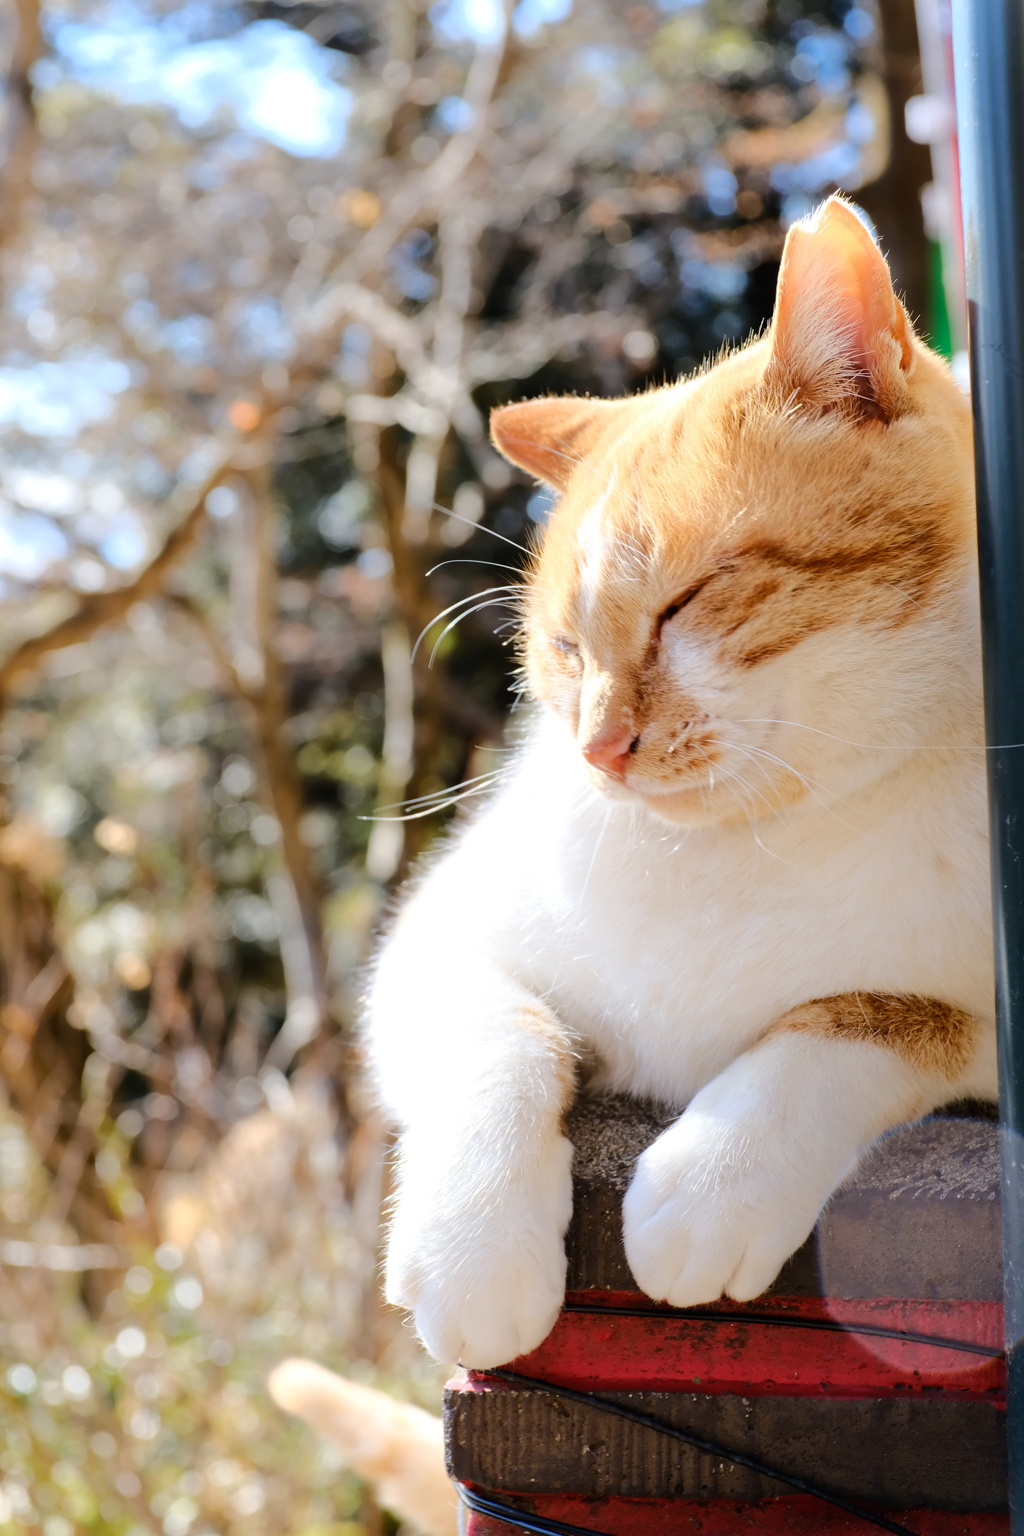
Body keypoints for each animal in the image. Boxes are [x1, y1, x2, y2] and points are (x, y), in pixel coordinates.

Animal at [366, 195, 994, 1370]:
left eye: (684, 604)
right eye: (566, 651)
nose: (597, 747)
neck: (735, 844)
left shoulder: (976, 1020)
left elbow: (868, 1015)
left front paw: (716, 1181)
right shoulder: (431, 944)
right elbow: (501, 1040)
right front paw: (474, 1249)